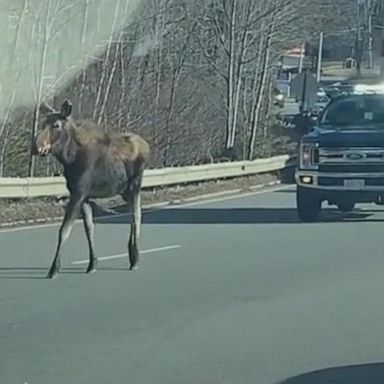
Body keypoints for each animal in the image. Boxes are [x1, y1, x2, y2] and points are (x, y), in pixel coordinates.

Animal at [31, 100, 150, 280]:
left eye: (56, 125)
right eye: (43, 124)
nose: (36, 147)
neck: (69, 159)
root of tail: (147, 146)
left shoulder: (78, 195)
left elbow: (63, 231)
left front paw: (54, 269)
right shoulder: (85, 197)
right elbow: (89, 229)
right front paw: (92, 263)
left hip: (135, 185)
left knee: (136, 216)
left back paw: (134, 257)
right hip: (125, 191)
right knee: (134, 215)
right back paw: (132, 254)